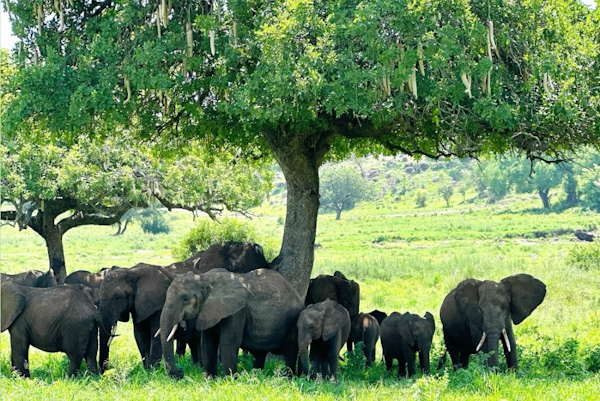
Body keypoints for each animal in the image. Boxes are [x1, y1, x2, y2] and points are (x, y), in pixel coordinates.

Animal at [158, 268, 302, 376]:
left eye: (185, 299)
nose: (181, 372)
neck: (204, 278)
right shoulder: (208, 310)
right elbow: (207, 343)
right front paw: (210, 379)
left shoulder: (237, 311)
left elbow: (228, 342)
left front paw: (229, 380)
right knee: (260, 353)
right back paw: (258, 375)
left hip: (293, 319)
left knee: (290, 351)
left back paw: (286, 377)